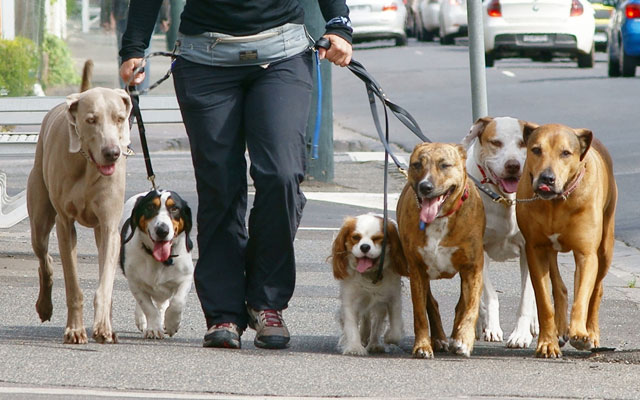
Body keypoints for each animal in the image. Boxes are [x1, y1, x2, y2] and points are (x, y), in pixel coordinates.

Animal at [118, 190, 192, 338]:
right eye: (150, 207)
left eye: (174, 208)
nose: (162, 231)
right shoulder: (135, 283)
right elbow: (147, 307)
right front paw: (153, 328)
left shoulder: (186, 278)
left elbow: (177, 302)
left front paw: (171, 324)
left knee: (163, 304)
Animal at [330, 214, 404, 354]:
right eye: (355, 237)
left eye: (377, 238)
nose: (364, 247)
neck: (369, 274)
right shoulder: (350, 299)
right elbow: (351, 325)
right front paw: (355, 347)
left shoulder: (393, 297)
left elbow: (396, 330)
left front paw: (389, 337)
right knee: (366, 318)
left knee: (376, 322)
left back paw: (374, 343)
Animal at [396, 142, 484, 358]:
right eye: (417, 164)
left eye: (445, 165)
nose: (425, 186)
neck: (439, 218)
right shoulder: (417, 269)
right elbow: (420, 312)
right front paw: (422, 345)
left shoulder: (473, 268)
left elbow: (470, 307)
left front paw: (464, 339)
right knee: (431, 303)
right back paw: (438, 339)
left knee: (461, 305)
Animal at [462, 115, 536, 346]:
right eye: (495, 142)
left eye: (522, 143)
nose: (513, 165)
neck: (505, 198)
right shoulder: (479, 249)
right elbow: (490, 294)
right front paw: (492, 327)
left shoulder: (529, 249)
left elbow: (527, 297)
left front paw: (521, 334)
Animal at [516, 122, 616, 360]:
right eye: (536, 150)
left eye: (565, 153)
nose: (547, 178)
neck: (556, 202)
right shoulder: (536, 249)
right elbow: (544, 301)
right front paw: (547, 343)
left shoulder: (586, 253)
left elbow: (583, 295)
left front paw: (579, 333)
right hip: (550, 249)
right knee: (559, 286)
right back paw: (560, 330)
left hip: (606, 247)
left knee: (596, 289)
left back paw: (591, 332)